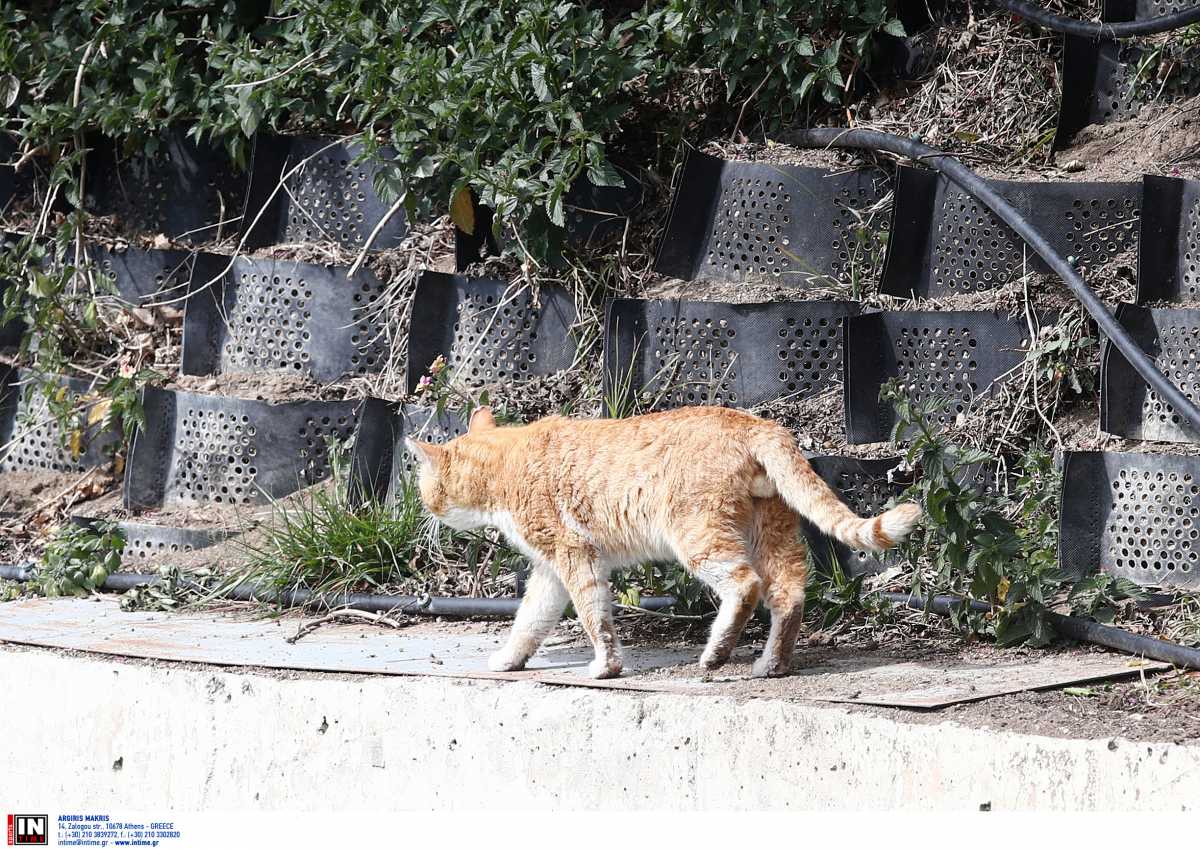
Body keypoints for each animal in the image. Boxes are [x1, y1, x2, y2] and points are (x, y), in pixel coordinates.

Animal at [408, 405, 921, 676]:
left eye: (425, 485)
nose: (423, 508)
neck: (506, 463)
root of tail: (756, 422)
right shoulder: (551, 572)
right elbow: (529, 622)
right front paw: (508, 660)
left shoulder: (575, 557)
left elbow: (595, 618)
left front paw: (606, 667)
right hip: (770, 534)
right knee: (790, 593)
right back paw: (771, 664)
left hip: (698, 536)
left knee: (745, 586)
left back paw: (716, 654)